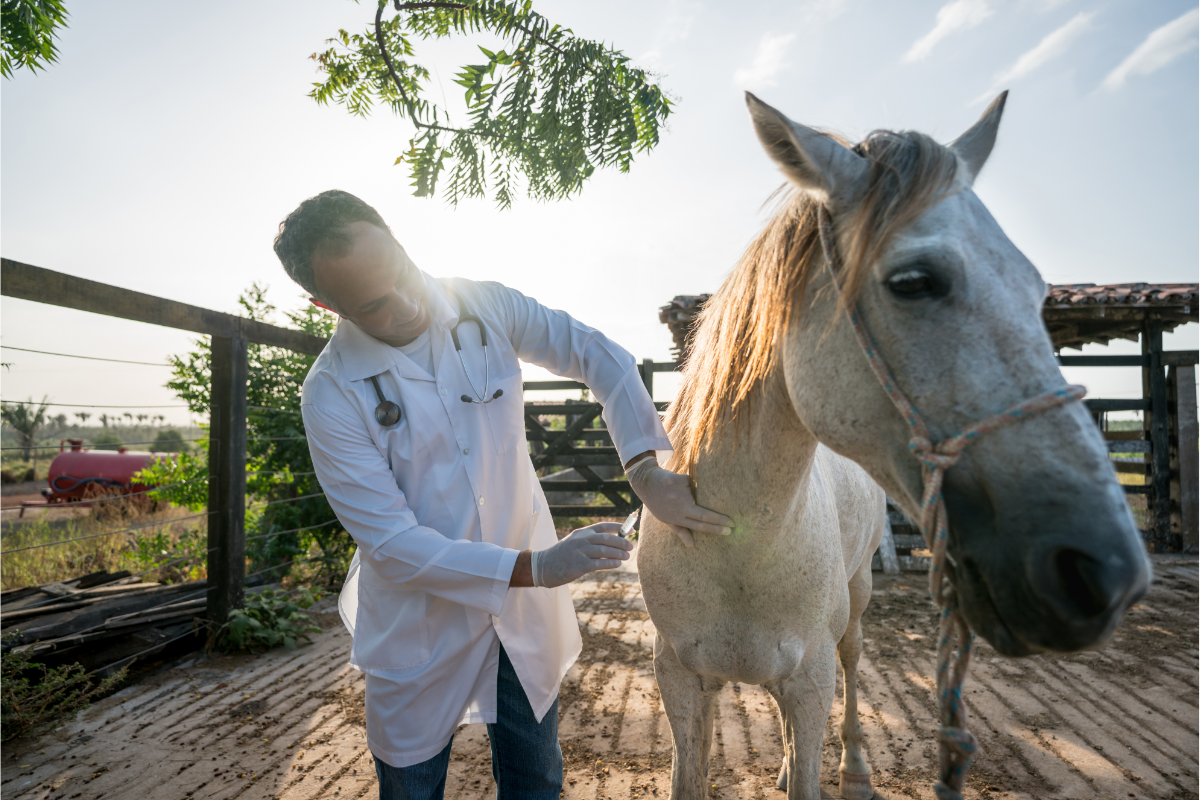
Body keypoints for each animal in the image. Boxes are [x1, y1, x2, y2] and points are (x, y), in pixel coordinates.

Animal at [636, 91, 1152, 800]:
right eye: (913, 281)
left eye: (1036, 290)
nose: (1109, 572)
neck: (733, 544)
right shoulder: (680, 681)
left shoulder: (811, 678)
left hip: (853, 610)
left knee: (852, 670)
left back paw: (854, 770)